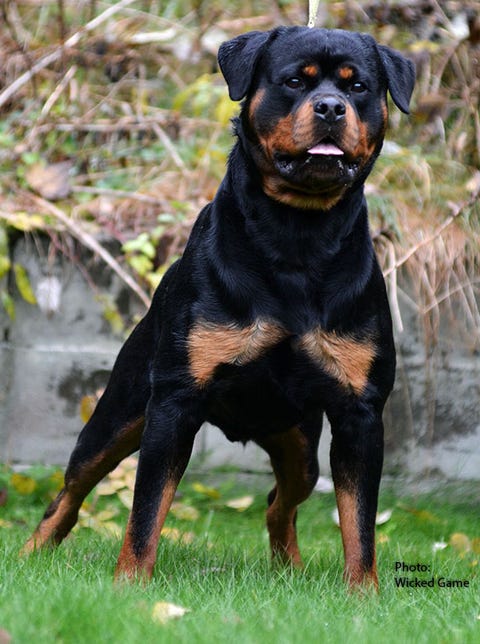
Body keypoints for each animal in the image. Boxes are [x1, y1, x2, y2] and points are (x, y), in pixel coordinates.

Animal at [23, 26, 415, 589]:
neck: (298, 237)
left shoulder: (360, 413)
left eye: (357, 86)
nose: (330, 107)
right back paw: (30, 553)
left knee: (279, 502)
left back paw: (289, 568)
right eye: (294, 82)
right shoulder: (172, 404)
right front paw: (130, 586)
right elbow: (146, 512)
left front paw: (363, 596)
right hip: (118, 415)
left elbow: (359, 523)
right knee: (72, 489)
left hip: (299, 443)